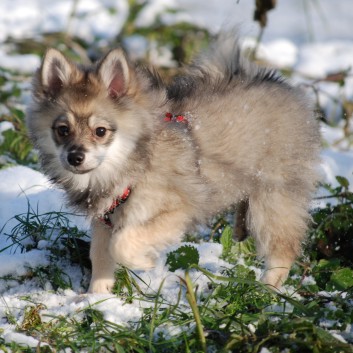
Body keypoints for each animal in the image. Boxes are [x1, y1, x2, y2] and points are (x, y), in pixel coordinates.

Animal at [26, 33, 320, 292]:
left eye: (100, 131)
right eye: (62, 130)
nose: (75, 157)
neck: (131, 165)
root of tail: (281, 85)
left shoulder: (177, 210)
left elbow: (120, 244)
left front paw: (144, 261)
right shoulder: (104, 220)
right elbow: (100, 257)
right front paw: (97, 299)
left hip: (272, 200)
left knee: (283, 251)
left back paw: (265, 293)